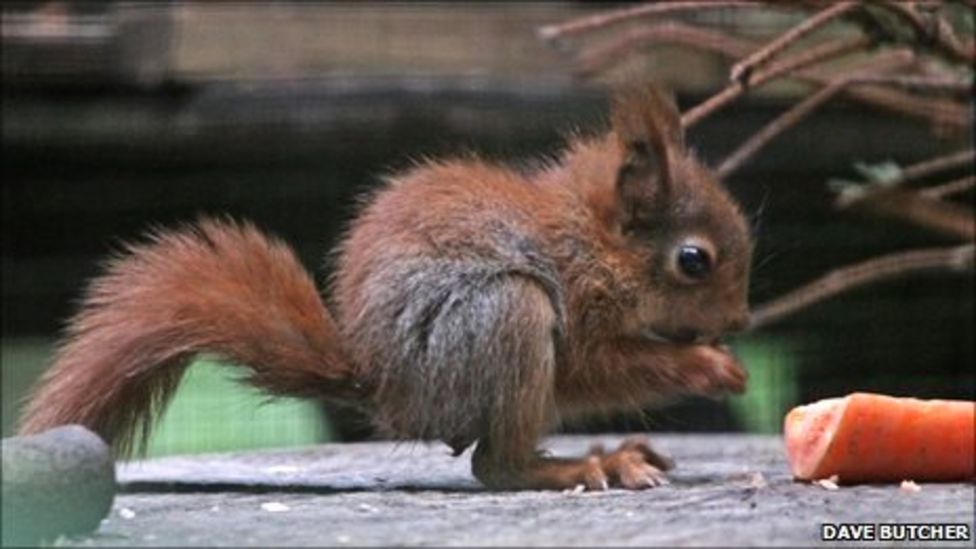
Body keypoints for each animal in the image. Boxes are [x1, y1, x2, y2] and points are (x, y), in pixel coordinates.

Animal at [18, 84, 753, 491]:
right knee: (496, 465)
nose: (741, 321)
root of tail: (386, 388)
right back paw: (576, 467)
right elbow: (597, 368)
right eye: (694, 260)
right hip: (502, 319)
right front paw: (707, 364)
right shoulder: (574, 299)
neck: (594, 243)